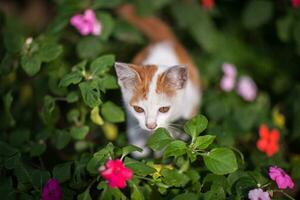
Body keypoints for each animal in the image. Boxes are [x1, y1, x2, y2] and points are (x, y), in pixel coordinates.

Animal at [115, 3, 202, 158]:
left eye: (164, 109)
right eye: (138, 109)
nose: (151, 126)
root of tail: (165, 41)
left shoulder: (190, 105)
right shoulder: (129, 110)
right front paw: (138, 147)